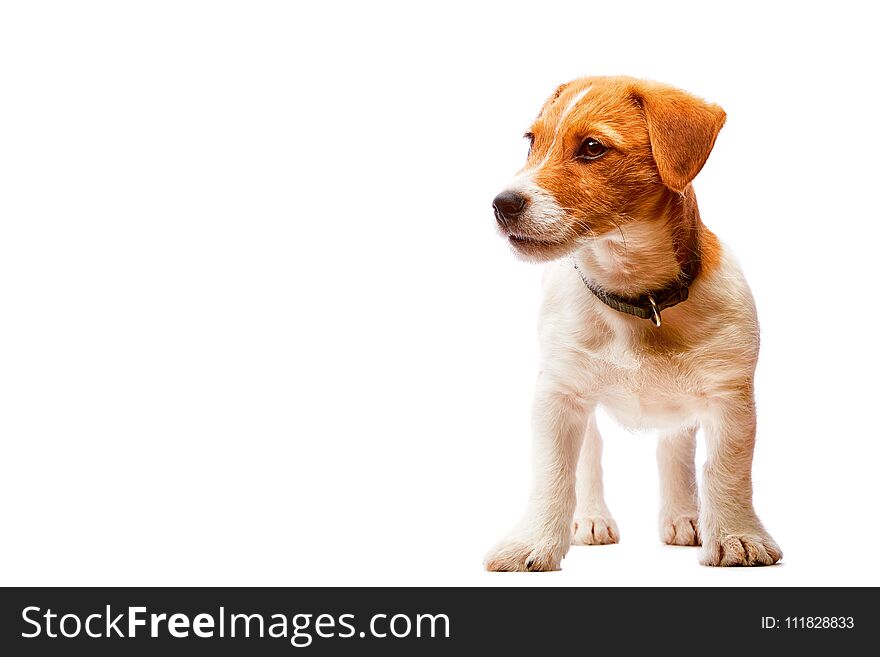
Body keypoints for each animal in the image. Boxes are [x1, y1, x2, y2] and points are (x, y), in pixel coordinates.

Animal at [488, 75, 784, 568]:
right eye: (531, 141)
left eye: (592, 147)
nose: (501, 203)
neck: (634, 294)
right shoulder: (557, 398)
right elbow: (555, 474)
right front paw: (534, 542)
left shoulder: (731, 398)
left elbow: (726, 471)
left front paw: (736, 536)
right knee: (590, 453)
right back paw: (590, 518)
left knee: (675, 447)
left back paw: (684, 516)